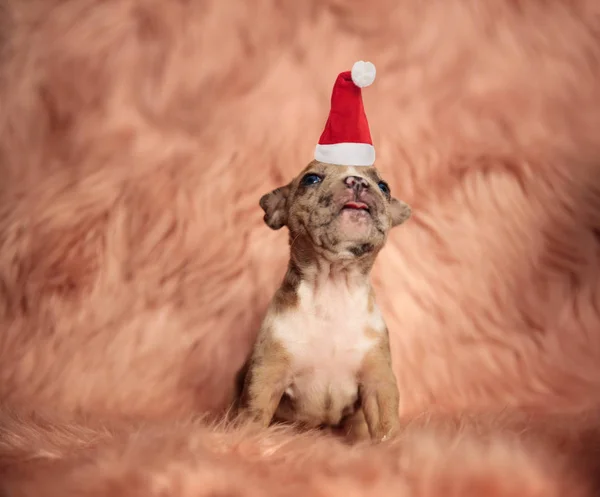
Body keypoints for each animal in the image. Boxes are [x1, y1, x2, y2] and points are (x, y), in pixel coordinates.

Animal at [237, 160, 410, 442]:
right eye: (311, 179)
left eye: (384, 186)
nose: (357, 182)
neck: (333, 285)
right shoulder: (266, 376)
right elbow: (254, 415)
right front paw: (246, 441)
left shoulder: (378, 380)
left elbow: (385, 424)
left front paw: (391, 445)